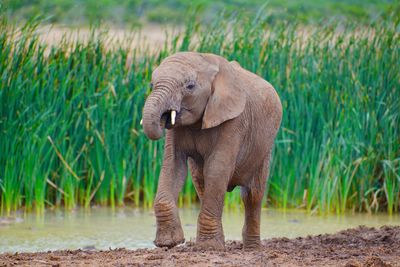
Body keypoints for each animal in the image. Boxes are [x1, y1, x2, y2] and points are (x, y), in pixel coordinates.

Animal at [142, 52, 282, 251]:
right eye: (151, 85)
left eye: (190, 86)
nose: (163, 119)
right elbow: (173, 165)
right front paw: (168, 243)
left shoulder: (235, 120)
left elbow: (217, 168)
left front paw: (208, 247)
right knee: (201, 183)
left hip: (264, 149)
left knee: (252, 195)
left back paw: (252, 249)